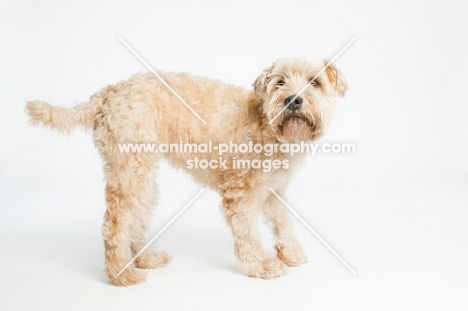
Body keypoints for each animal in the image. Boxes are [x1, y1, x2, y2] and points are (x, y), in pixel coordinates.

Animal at [25, 57, 348, 286]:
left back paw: (145, 259)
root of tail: (107, 93)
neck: (267, 123)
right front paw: (260, 265)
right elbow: (248, 232)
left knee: (135, 219)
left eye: (314, 82)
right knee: (114, 224)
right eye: (280, 82)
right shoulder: (240, 192)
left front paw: (291, 253)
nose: (293, 100)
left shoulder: (274, 190)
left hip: (142, 175)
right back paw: (122, 275)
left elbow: (284, 224)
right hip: (131, 172)